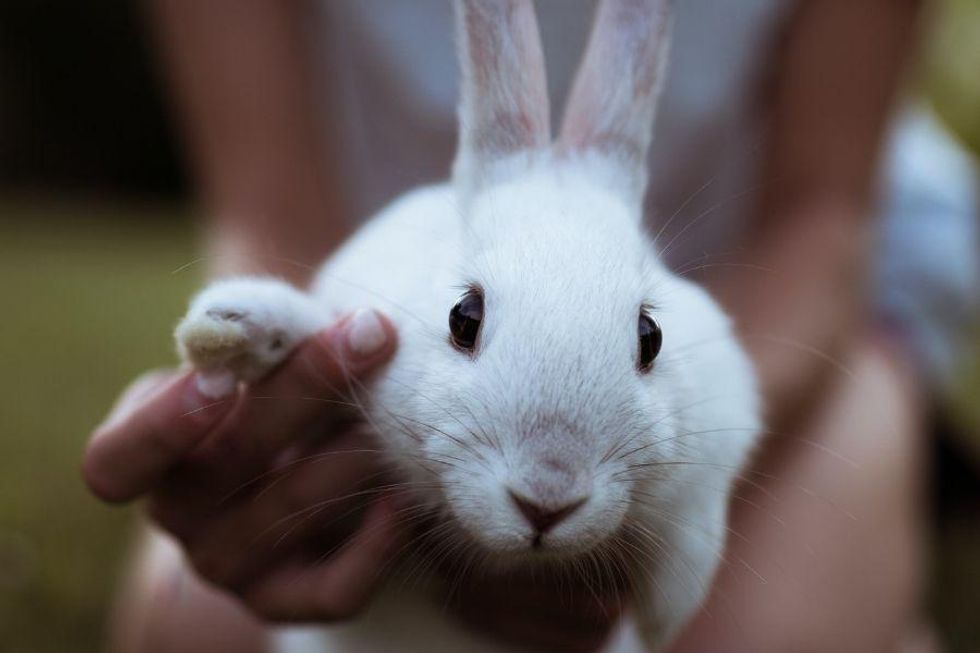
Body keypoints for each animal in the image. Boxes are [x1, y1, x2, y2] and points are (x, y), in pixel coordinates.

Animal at [174, 1, 756, 648]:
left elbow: (692, 530)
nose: (546, 498)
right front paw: (230, 329)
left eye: (649, 336)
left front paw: (667, 608)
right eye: (463, 318)